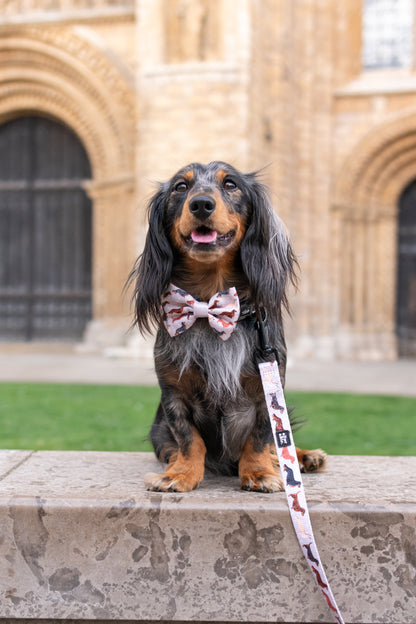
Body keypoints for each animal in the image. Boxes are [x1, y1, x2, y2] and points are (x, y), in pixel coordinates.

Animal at [128, 161, 326, 492]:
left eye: (231, 184)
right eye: (181, 187)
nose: (201, 204)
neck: (209, 304)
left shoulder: (267, 388)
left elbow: (261, 438)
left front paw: (258, 472)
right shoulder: (173, 391)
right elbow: (187, 438)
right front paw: (180, 473)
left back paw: (306, 456)